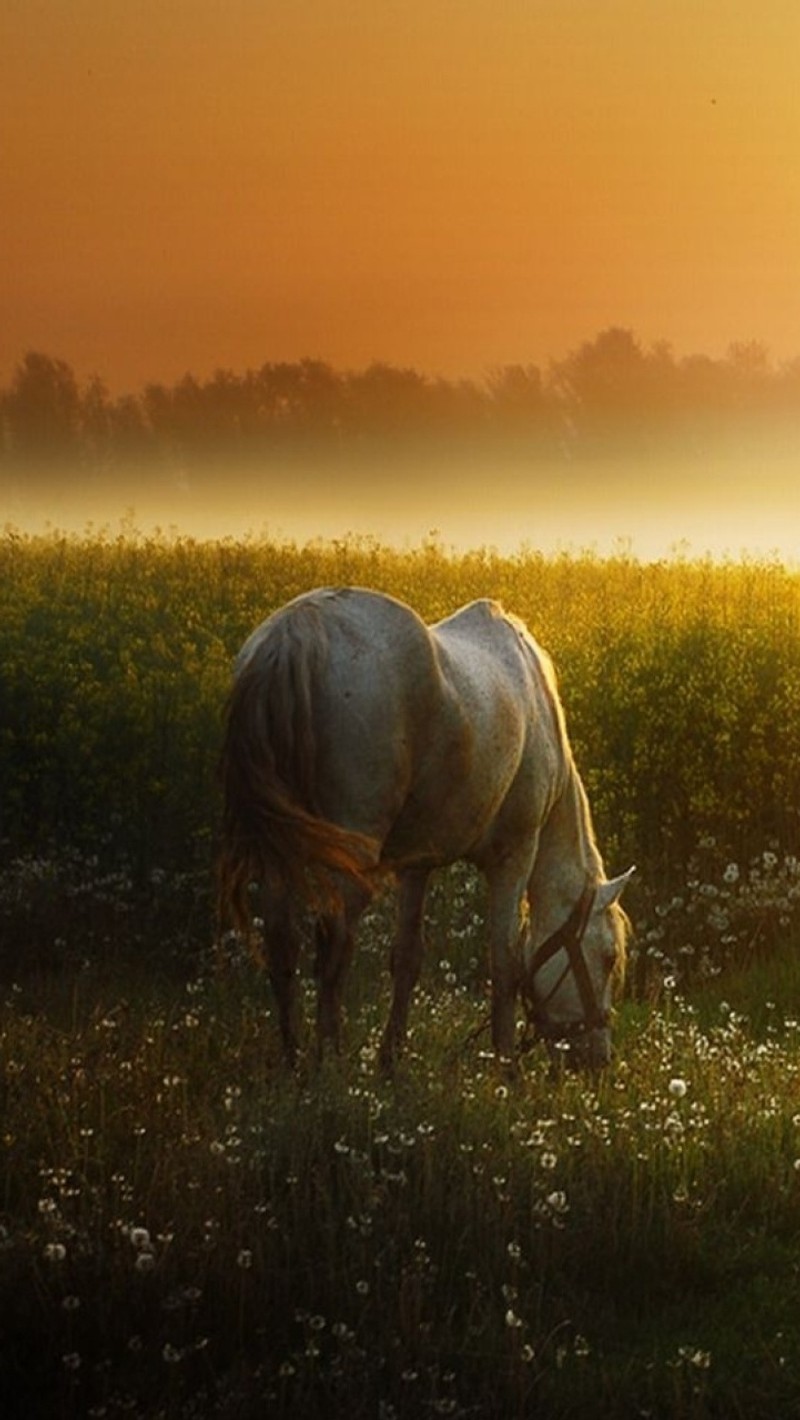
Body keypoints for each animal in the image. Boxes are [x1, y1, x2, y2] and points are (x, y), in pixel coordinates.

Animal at [217, 585, 633, 1067]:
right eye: (608, 957)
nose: (598, 1059)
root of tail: (296, 630)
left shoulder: (417, 864)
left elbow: (407, 958)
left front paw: (391, 1059)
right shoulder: (514, 856)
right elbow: (505, 964)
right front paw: (506, 1069)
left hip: (280, 854)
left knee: (283, 942)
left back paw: (295, 1059)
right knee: (333, 948)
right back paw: (329, 1061)